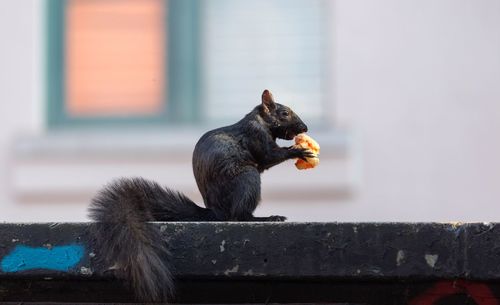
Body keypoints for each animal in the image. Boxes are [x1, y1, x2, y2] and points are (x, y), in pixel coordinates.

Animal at [86, 89, 312, 300]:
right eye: (284, 113)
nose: (304, 129)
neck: (261, 121)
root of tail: (216, 212)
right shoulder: (256, 136)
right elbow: (268, 156)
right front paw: (297, 151)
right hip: (248, 179)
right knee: (238, 215)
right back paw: (266, 218)